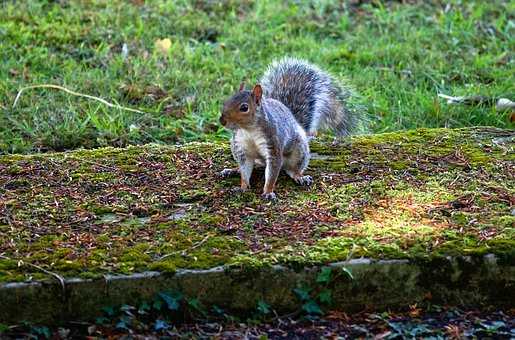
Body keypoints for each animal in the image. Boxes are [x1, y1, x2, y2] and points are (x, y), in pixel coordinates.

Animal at [220, 57, 364, 201]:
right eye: (226, 101)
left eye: (244, 108)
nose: (222, 120)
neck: (248, 130)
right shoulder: (241, 148)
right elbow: (245, 170)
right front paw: (242, 187)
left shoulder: (273, 144)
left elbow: (272, 173)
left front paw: (268, 192)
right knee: (256, 164)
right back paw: (233, 170)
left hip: (298, 151)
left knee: (291, 169)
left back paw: (300, 177)